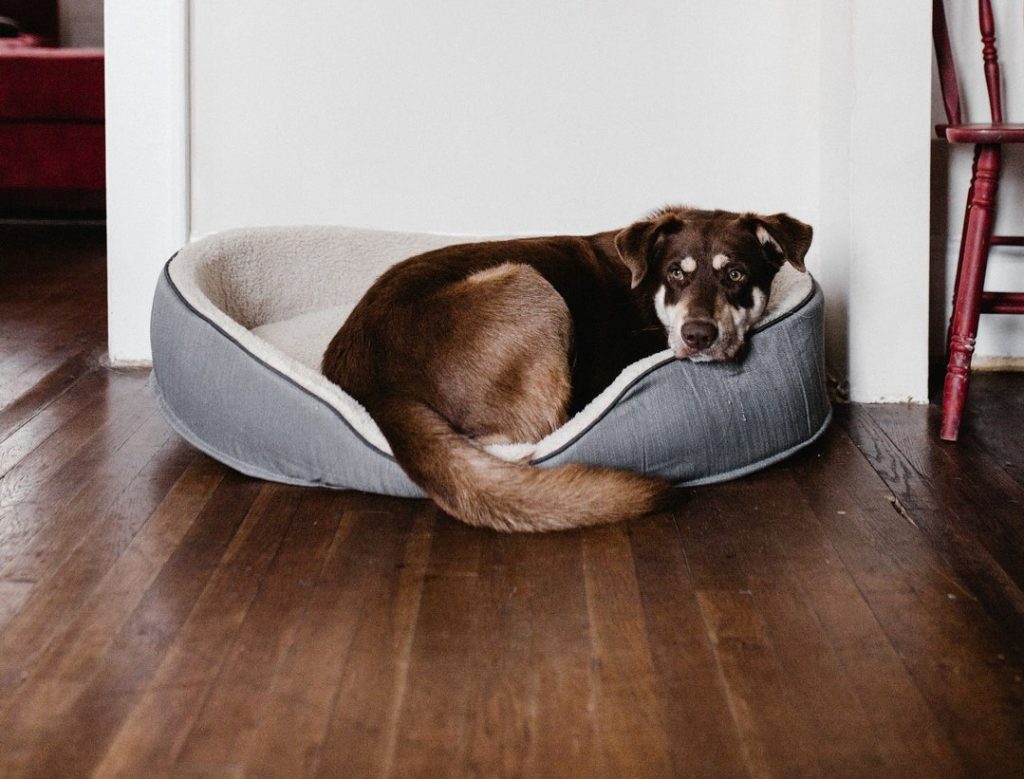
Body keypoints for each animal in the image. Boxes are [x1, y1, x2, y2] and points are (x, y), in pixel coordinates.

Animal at [323, 206, 811, 532]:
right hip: (530, 284)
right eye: (676, 272)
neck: (648, 293)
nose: (698, 335)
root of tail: (375, 387)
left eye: (735, 274)